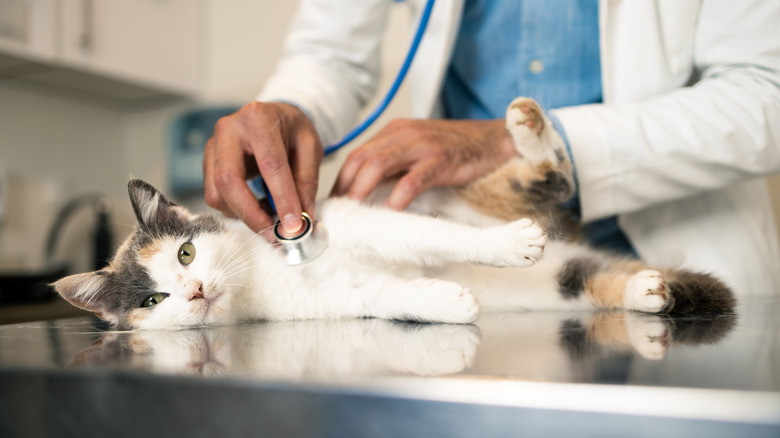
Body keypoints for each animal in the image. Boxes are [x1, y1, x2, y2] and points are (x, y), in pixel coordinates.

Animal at [51, 96, 736, 328]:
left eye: (186, 252)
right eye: (153, 300)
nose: (193, 290)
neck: (259, 274)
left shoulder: (361, 219)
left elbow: (424, 236)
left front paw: (505, 248)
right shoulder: (330, 302)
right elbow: (384, 295)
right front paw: (447, 301)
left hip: (460, 193)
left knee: (551, 176)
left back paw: (530, 128)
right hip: (562, 288)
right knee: (588, 278)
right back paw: (647, 290)